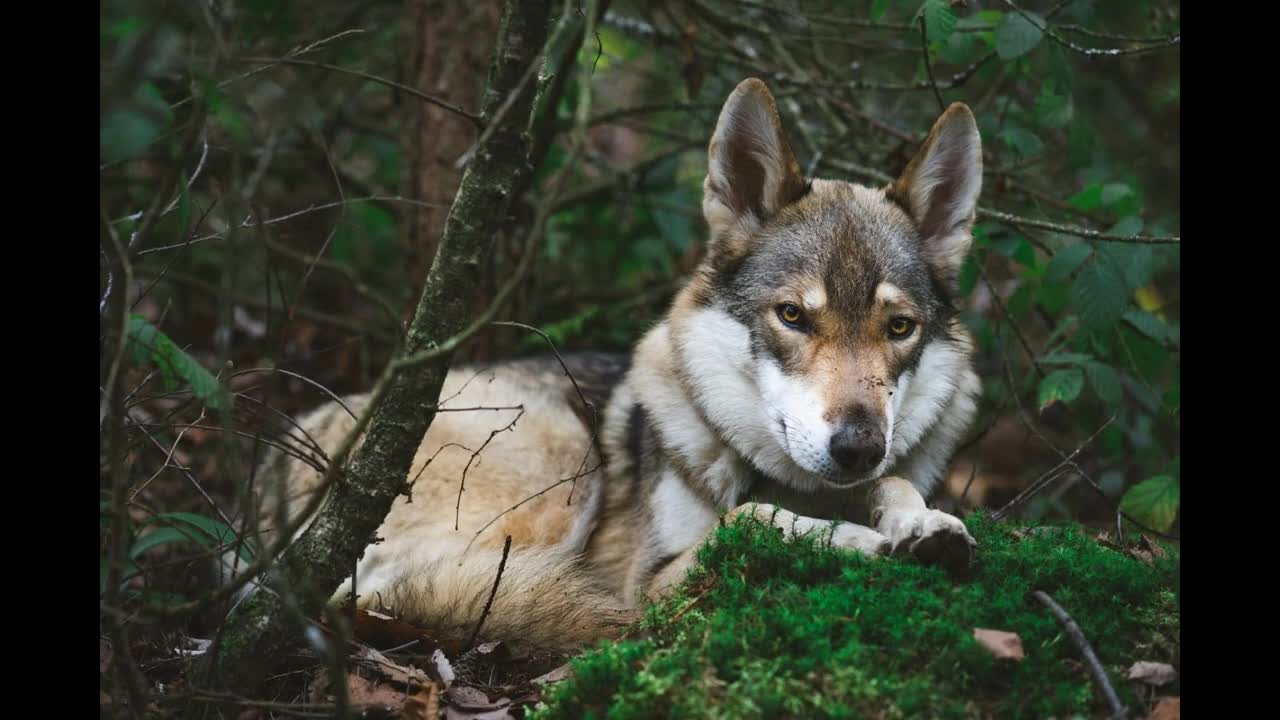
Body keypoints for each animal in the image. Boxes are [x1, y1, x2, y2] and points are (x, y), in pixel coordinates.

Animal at [252, 78, 988, 650]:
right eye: (793, 317)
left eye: (899, 329)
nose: (858, 446)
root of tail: (281, 452)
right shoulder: (652, 580)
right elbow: (752, 519)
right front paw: (858, 541)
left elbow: (895, 485)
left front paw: (925, 525)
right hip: (559, 463)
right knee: (398, 591)